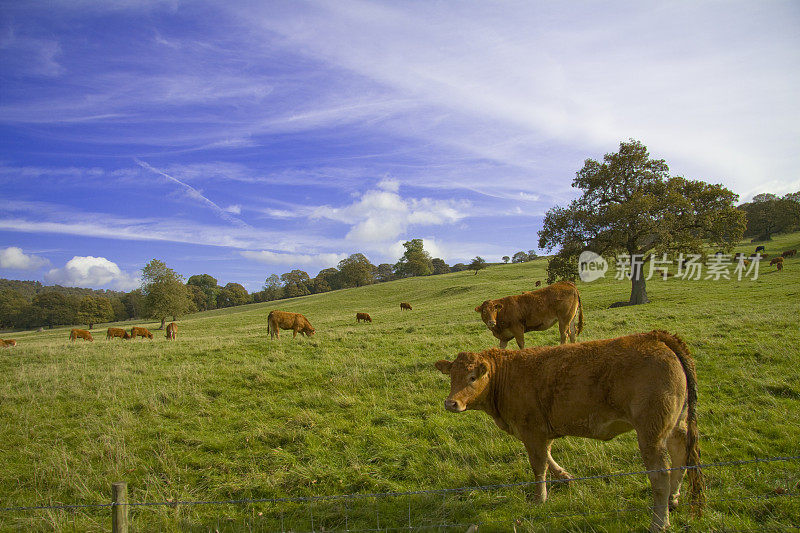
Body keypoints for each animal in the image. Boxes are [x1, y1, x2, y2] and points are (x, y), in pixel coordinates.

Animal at [434, 330, 704, 528]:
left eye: (472, 377)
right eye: (452, 377)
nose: (451, 403)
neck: (506, 376)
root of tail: (657, 337)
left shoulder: (532, 430)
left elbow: (539, 465)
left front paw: (539, 499)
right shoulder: (543, 429)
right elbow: (548, 457)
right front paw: (564, 476)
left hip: (651, 432)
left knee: (660, 474)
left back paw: (659, 522)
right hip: (675, 425)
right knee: (680, 457)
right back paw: (673, 499)